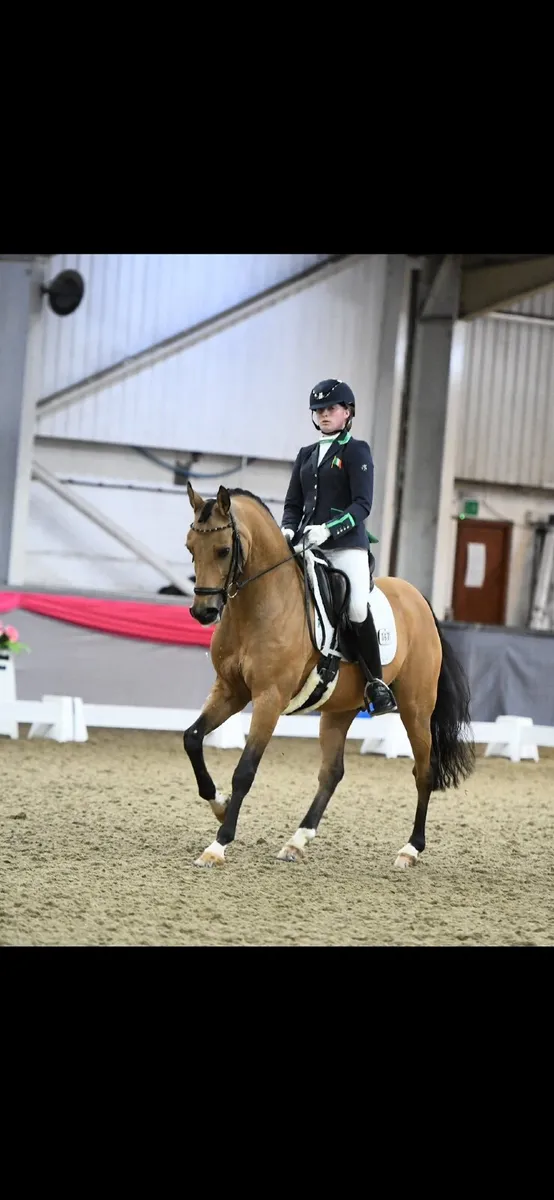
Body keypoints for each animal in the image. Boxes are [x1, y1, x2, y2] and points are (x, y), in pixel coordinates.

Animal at [183, 481, 475, 868]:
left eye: (223, 550)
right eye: (190, 548)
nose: (204, 612)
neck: (260, 604)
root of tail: (419, 600)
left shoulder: (269, 698)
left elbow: (245, 770)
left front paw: (219, 843)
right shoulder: (231, 690)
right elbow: (192, 739)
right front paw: (219, 805)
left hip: (416, 708)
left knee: (423, 770)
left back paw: (410, 849)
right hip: (340, 709)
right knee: (332, 772)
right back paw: (296, 841)